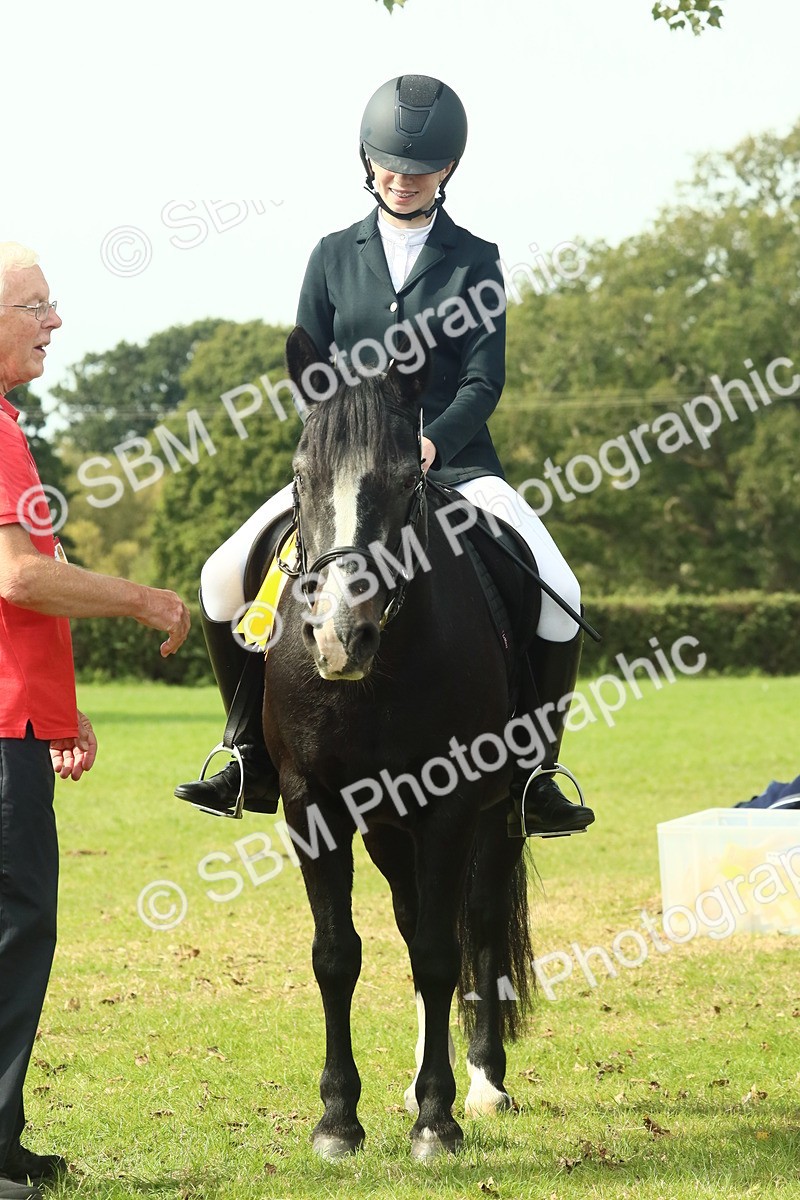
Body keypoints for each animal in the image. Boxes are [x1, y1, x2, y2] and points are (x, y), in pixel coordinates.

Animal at [257, 326, 538, 1160]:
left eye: (405, 475)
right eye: (301, 475)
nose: (338, 636)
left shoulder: (452, 803)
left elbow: (445, 952)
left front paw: (437, 1120)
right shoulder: (312, 802)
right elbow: (336, 954)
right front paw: (337, 1119)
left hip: (500, 814)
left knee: (475, 925)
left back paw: (480, 1084)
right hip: (386, 826)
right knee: (415, 922)